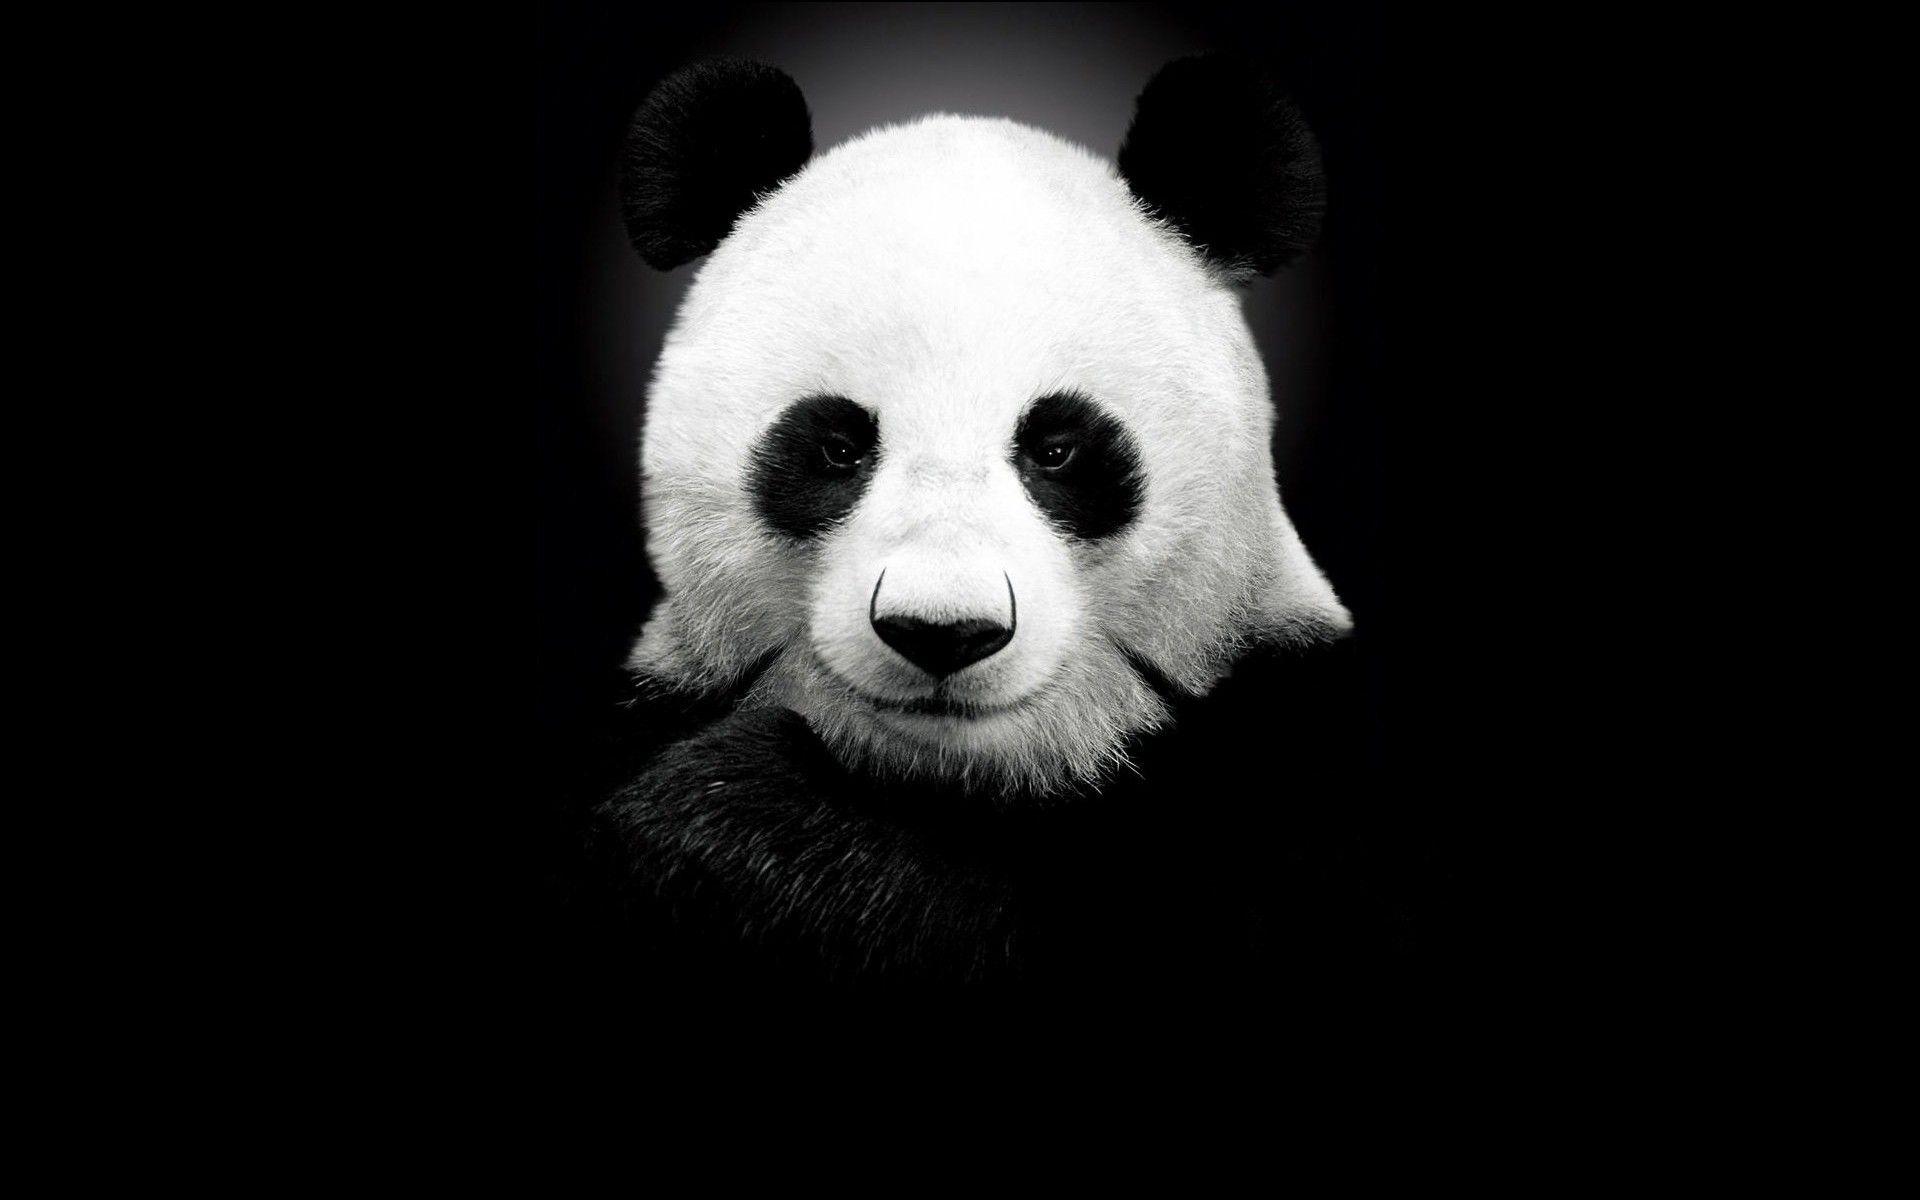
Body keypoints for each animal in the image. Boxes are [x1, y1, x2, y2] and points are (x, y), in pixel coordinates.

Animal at [580, 56, 1412, 990]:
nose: (943, 632)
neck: (956, 779)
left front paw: (732, 824)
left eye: (1056, 449)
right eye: (837, 448)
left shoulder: (1295, 761)